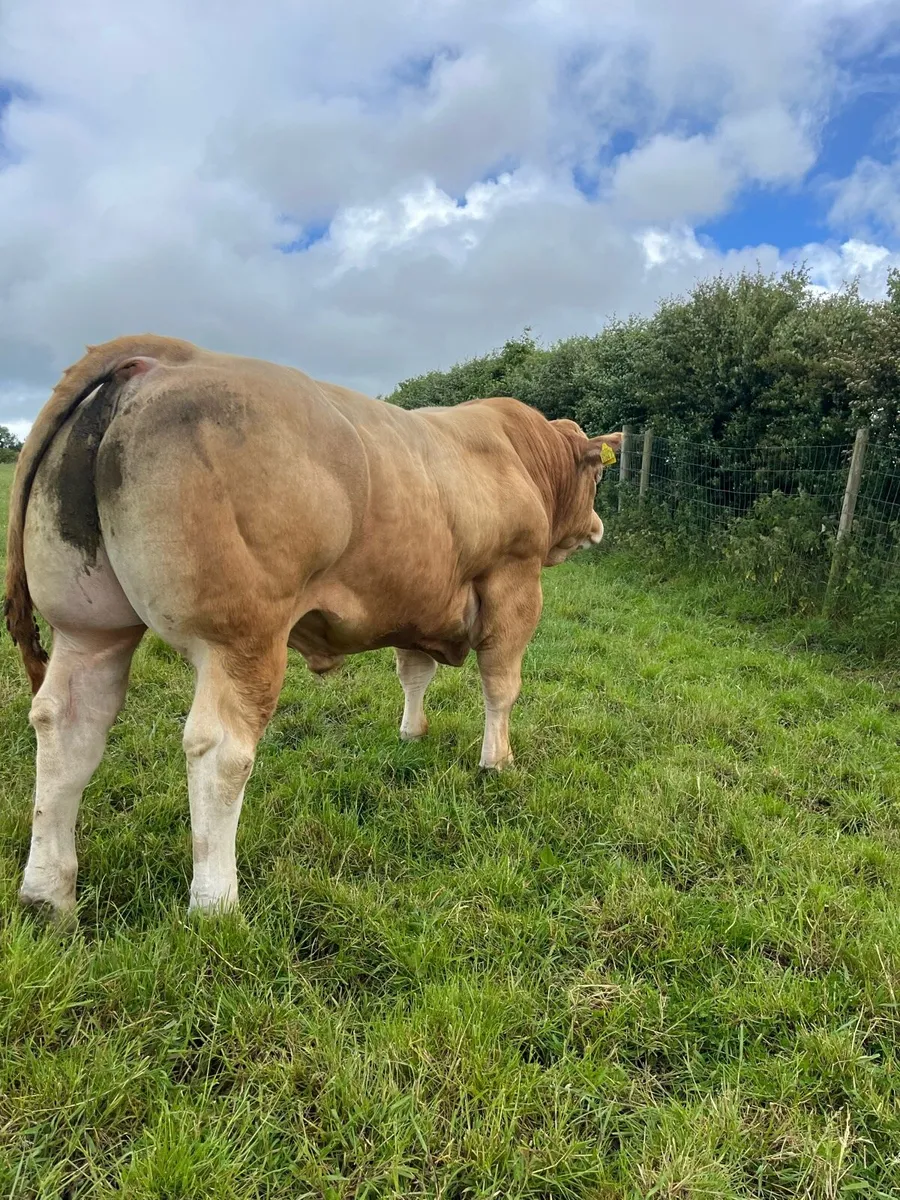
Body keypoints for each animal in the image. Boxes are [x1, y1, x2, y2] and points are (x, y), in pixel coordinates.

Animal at [4, 335, 621, 921]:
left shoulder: (416, 601)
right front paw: (497, 762)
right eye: (595, 474)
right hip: (241, 639)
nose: (597, 527)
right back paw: (216, 906)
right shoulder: (513, 583)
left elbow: (413, 672)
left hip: (88, 625)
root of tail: (164, 358)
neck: (521, 455)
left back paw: (47, 896)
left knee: (66, 728)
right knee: (220, 753)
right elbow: (502, 683)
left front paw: (412, 732)